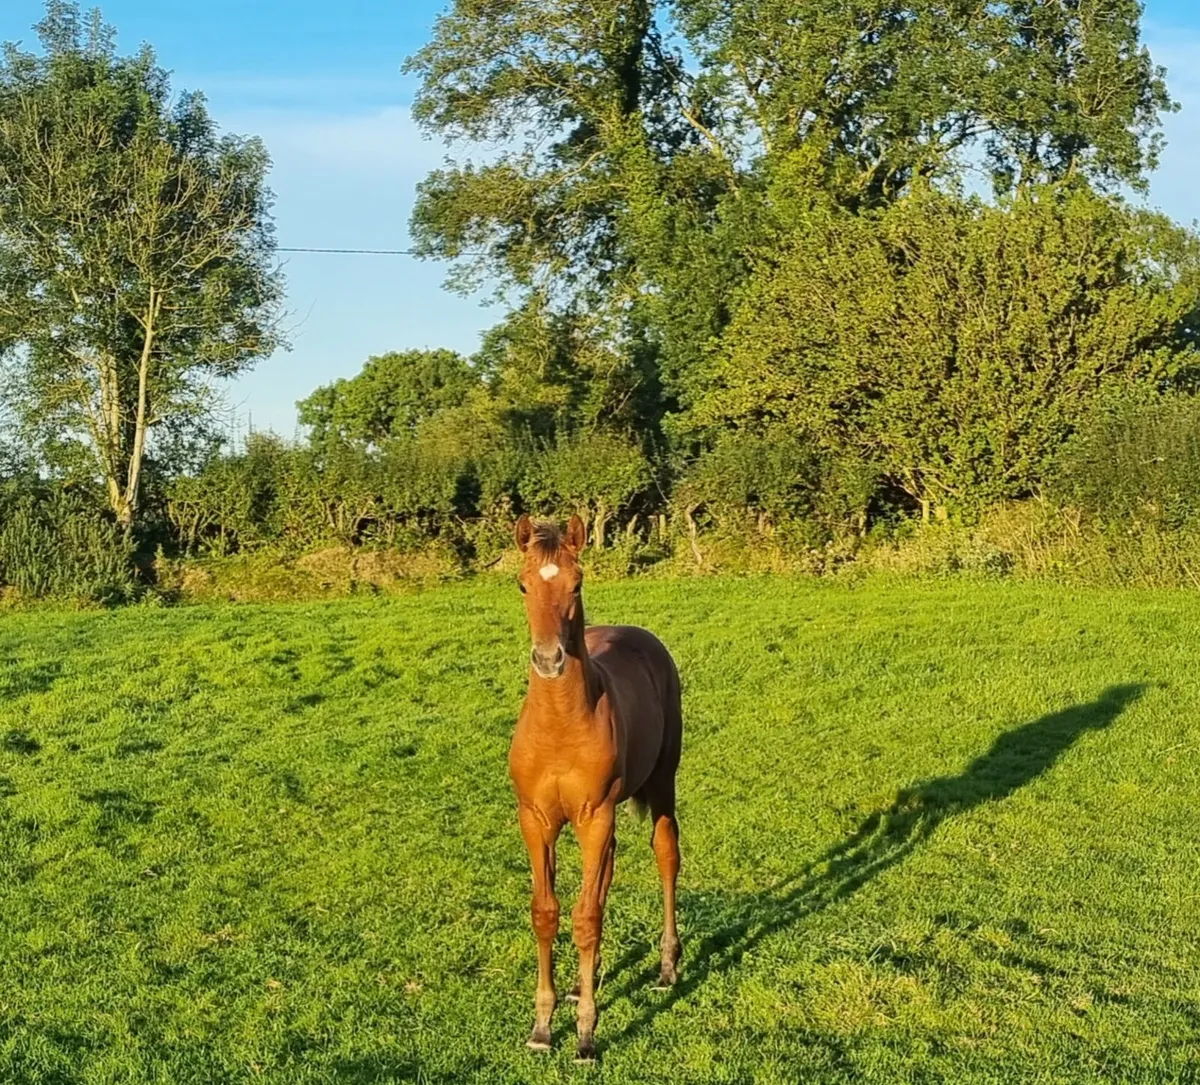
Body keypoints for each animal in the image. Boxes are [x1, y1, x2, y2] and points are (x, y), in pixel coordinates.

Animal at [507, 514, 684, 1061]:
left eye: (577, 583)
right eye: (523, 585)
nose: (549, 659)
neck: (561, 726)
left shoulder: (594, 816)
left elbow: (585, 918)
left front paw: (585, 1034)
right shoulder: (536, 820)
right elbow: (548, 913)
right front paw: (543, 1028)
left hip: (662, 782)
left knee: (666, 854)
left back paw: (667, 967)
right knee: (604, 880)